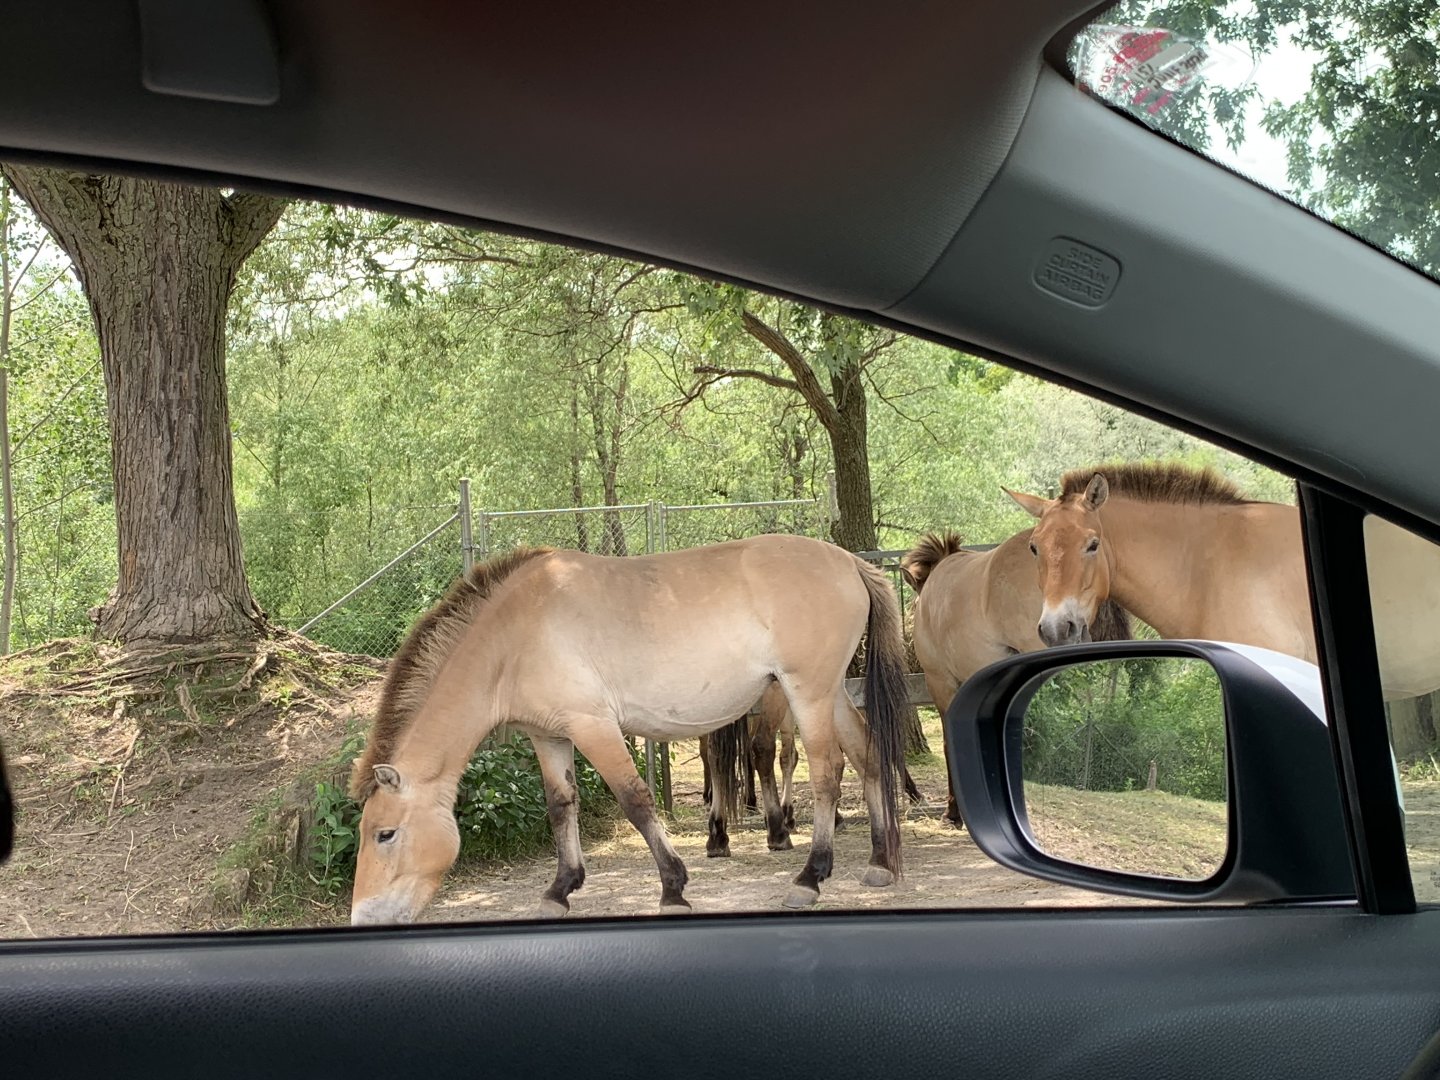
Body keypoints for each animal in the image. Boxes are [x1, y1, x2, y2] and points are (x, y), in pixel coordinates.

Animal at [348, 534, 908, 924]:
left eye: (385, 834)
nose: (363, 917)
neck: (516, 635)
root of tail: (850, 562)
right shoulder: (549, 736)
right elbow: (560, 806)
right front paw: (560, 890)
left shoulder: (593, 726)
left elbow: (635, 800)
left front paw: (673, 888)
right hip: (831, 693)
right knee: (867, 754)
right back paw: (880, 863)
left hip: (807, 693)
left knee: (828, 770)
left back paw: (810, 878)